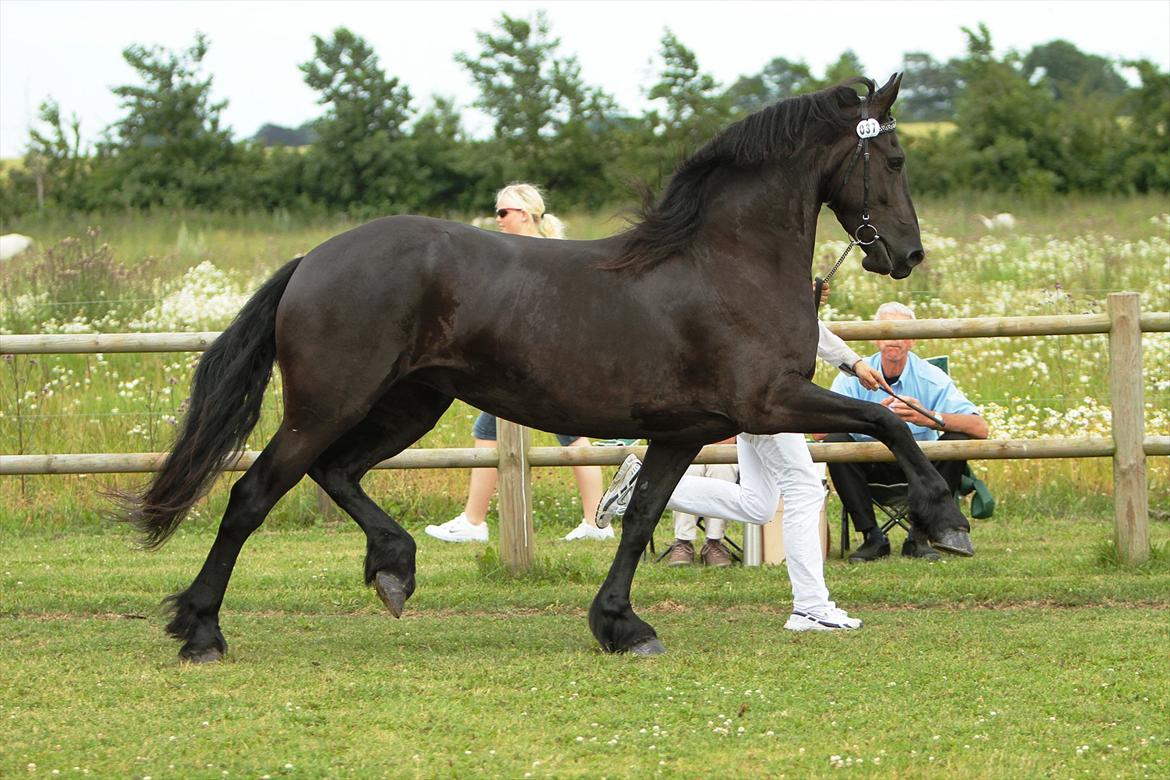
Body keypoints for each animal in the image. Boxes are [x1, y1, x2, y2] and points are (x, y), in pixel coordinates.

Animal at [123, 73, 973, 664]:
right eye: (894, 157)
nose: (906, 254)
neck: (726, 264)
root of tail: (313, 261)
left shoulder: (685, 430)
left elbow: (638, 519)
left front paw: (621, 625)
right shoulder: (770, 403)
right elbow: (887, 418)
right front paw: (945, 518)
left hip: (409, 405)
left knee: (338, 474)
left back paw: (394, 569)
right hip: (329, 404)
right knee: (253, 494)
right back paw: (201, 630)